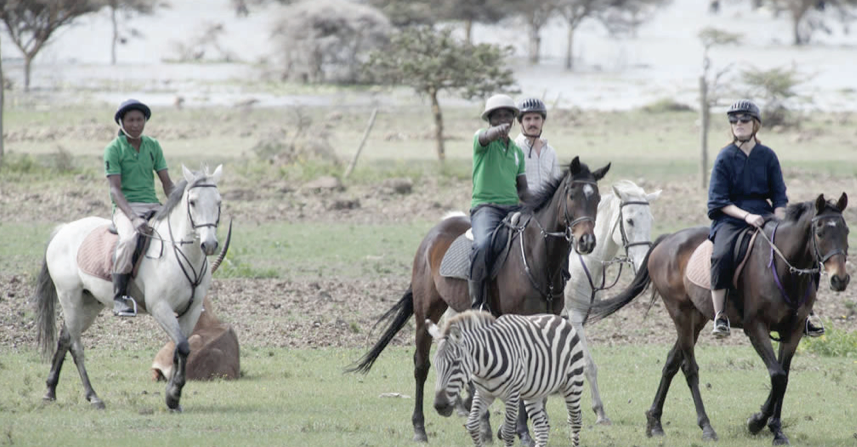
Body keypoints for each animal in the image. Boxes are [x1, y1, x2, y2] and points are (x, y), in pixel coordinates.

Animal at [36, 165, 224, 412]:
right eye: (192, 202)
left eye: (219, 202)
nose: (209, 244)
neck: (180, 253)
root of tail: (64, 229)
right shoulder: (160, 308)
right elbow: (182, 346)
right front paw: (174, 394)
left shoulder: (191, 311)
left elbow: (179, 348)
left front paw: (172, 398)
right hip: (70, 299)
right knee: (76, 346)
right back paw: (93, 396)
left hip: (89, 305)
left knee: (65, 339)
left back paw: (50, 390)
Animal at [424, 310, 584, 447]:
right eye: (435, 365)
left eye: (456, 363)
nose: (440, 406)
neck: (484, 368)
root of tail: (558, 317)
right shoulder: (483, 394)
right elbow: (472, 425)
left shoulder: (512, 394)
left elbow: (507, 432)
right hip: (534, 393)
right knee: (542, 429)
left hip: (573, 383)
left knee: (575, 421)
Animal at [560, 178, 664, 424]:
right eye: (629, 220)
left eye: (650, 220)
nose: (644, 263)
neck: (582, 261)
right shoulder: (574, 317)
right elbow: (587, 364)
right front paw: (599, 412)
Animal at [588, 194, 848, 446]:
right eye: (820, 232)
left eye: (845, 231)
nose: (841, 279)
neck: (782, 269)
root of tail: (667, 239)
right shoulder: (756, 328)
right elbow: (777, 375)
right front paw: (757, 422)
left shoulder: (793, 332)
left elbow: (783, 377)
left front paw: (776, 430)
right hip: (681, 314)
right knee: (689, 368)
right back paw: (706, 427)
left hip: (697, 318)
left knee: (672, 362)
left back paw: (655, 422)